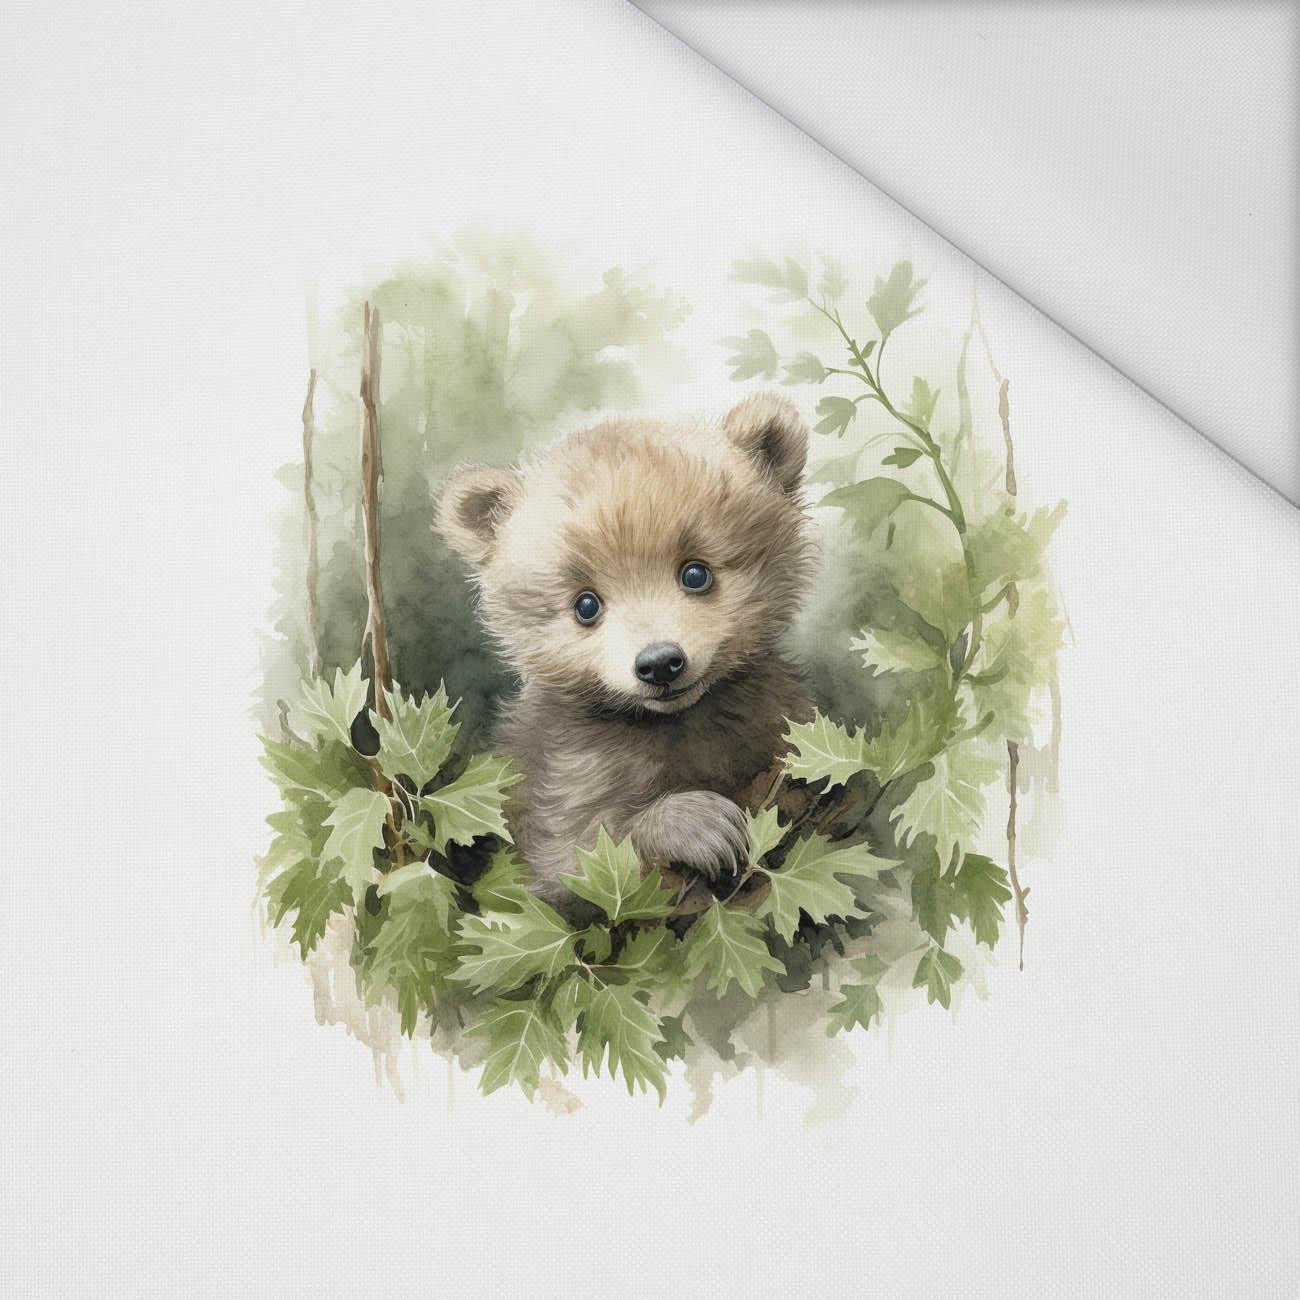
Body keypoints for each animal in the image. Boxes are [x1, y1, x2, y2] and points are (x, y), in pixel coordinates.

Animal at [435, 392, 815, 909]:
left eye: (696, 573)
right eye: (586, 605)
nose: (659, 663)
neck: (678, 725)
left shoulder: (772, 719)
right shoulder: (563, 776)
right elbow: (578, 861)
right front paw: (698, 825)